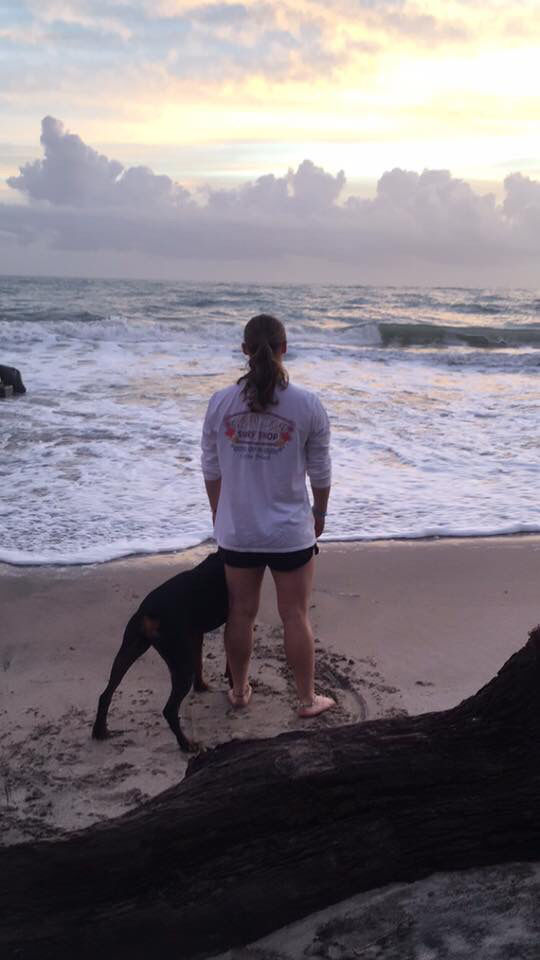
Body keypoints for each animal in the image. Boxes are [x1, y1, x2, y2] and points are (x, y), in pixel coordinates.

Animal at [92, 551, 228, 751]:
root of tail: (149, 613)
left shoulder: (196, 633)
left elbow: (199, 662)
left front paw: (202, 686)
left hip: (131, 648)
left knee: (106, 693)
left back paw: (100, 731)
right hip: (179, 658)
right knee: (169, 710)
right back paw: (186, 744)